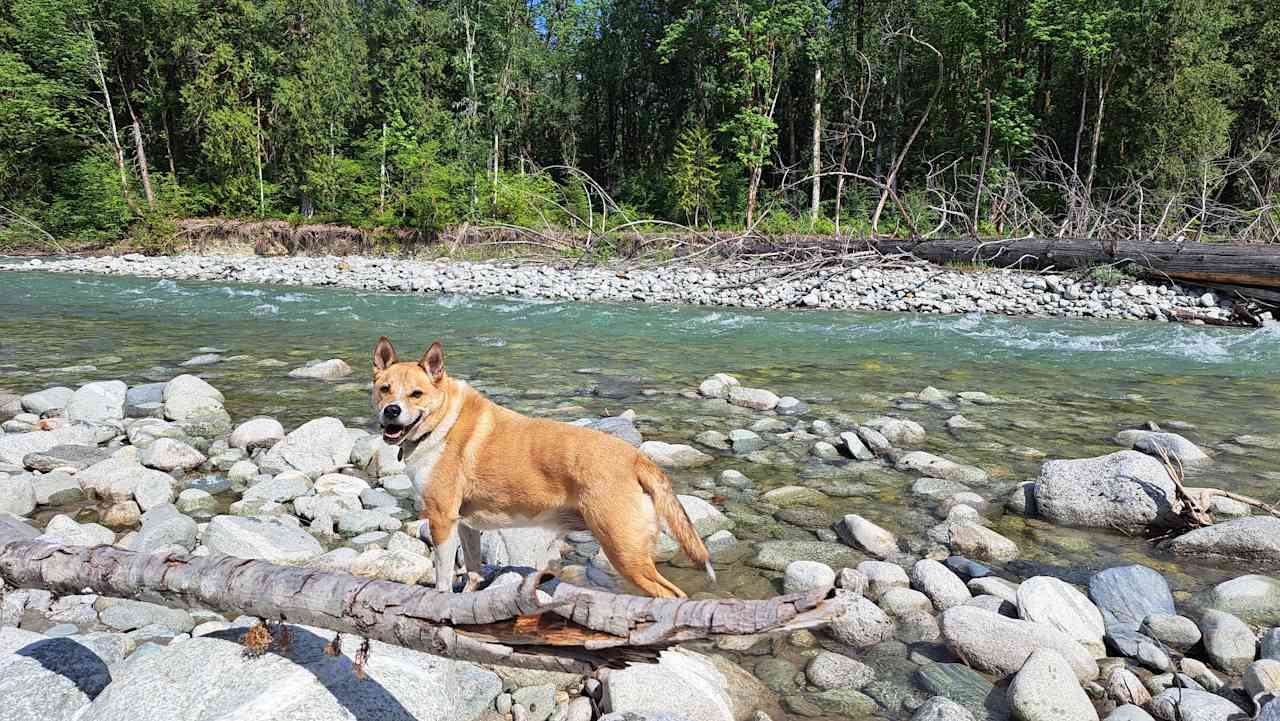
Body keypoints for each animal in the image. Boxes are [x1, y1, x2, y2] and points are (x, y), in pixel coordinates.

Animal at [371, 338, 716, 599]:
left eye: (416, 394)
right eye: (385, 389)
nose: (392, 411)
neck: (442, 420)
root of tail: (636, 458)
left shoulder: (441, 517)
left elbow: (442, 576)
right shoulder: (466, 523)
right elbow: (472, 570)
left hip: (625, 552)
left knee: (672, 595)